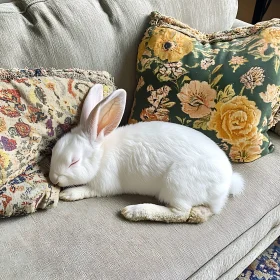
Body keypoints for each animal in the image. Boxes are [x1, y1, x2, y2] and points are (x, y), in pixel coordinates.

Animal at [49, 84, 244, 224]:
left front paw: (68, 194)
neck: (102, 154)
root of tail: (227, 184)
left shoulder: (103, 184)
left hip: (177, 183)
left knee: (180, 213)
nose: (53, 179)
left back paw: (134, 211)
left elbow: (87, 189)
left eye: (74, 162)